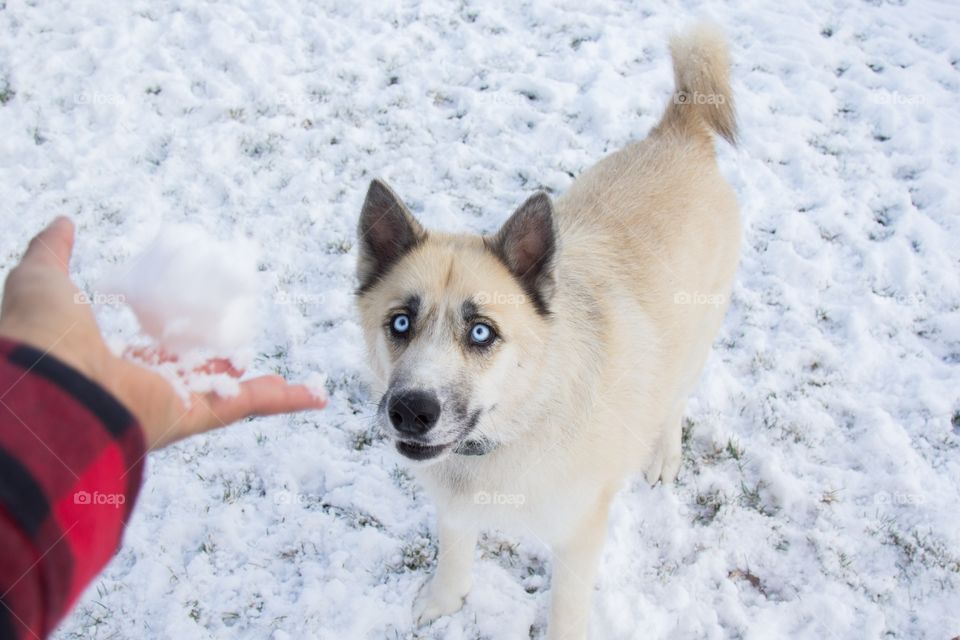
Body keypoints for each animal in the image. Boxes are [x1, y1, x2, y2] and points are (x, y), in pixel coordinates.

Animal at [356, 25, 740, 640]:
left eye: (481, 332)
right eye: (400, 322)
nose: (412, 410)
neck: (519, 419)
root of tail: (680, 132)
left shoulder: (581, 535)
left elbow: (566, 609)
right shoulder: (455, 506)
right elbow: (455, 553)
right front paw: (443, 602)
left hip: (697, 334)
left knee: (676, 398)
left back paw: (663, 454)